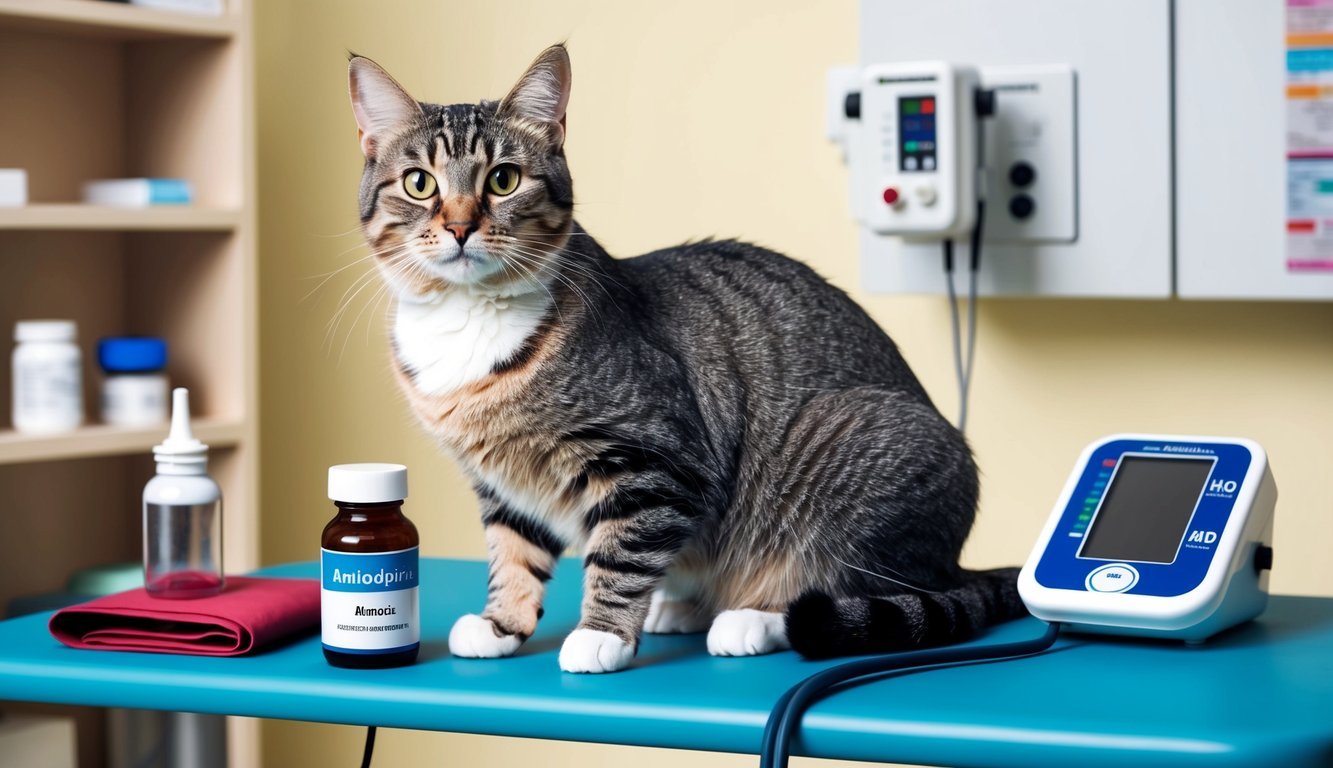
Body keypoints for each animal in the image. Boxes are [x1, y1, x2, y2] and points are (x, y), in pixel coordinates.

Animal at [349, 45, 1023, 674]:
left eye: (503, 180)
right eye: (420, 183)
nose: (461, 226)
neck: (469, 322)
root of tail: (956, 563)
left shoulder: (651, 458)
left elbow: (621, 552)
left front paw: (600, 634)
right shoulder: (504, 485)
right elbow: (513, 554)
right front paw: (501, 625)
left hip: (852, 460)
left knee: (839, 587)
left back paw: (749, 619)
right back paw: (682, 606)